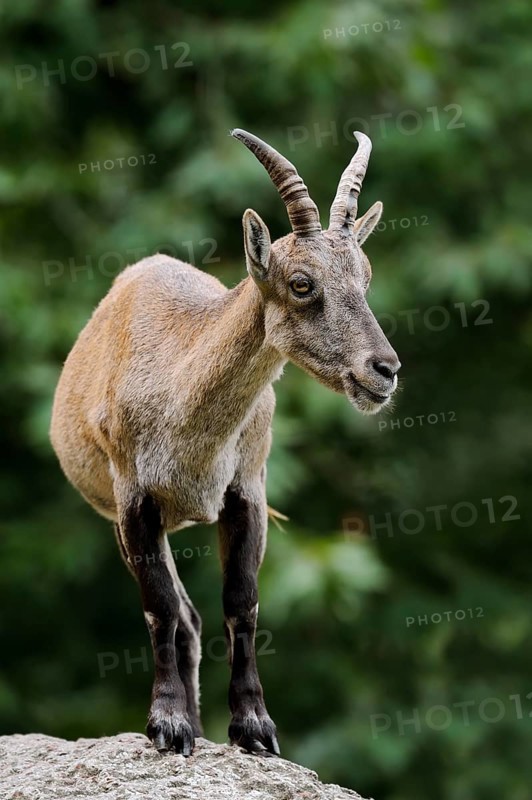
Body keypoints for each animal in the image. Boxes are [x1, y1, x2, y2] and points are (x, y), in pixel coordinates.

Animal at [50, 128, 400, 758]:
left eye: (365, 278)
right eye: (302, 284)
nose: (383, 370)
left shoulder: (246, 490)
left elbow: (242, 604)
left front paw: (254, 728)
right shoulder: (134, 498)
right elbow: (160, 608)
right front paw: (167, 724)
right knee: (180, 616)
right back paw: (184, 722)